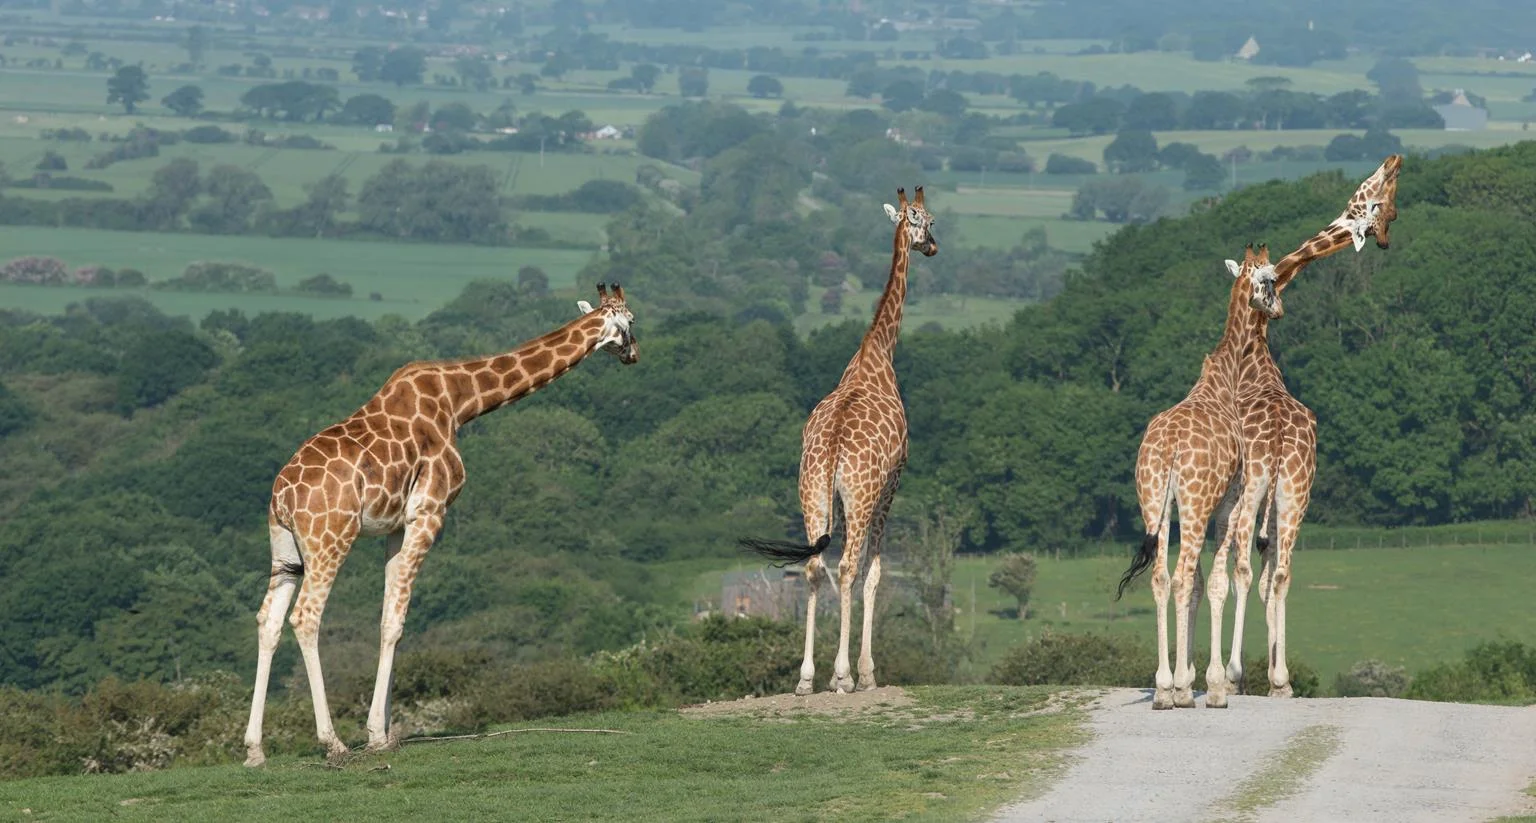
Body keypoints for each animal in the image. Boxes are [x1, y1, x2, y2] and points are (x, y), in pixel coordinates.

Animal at [242, 280, 638, 764]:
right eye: (631, 321)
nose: (635, 354)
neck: (460, 401)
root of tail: (282, 497)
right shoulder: (430, 512)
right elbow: (396, 621)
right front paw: (375, 734)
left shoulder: (396, 525)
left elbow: (389, 617)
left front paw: (385, 731)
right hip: (330, 539)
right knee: (306, 618)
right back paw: (332, 742)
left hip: (286, 551)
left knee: (269, 621)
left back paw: (254, 749)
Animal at [740, 185, 940, 694]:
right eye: (928, 220)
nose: (933, 247)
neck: (878, 352)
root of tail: (830, 449)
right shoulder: (891, 486)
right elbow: (873, 572)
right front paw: (864, 672)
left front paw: (830, 672)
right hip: (861, 495)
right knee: (848, 567)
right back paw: (847, 675)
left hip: (811, 493)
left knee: (815, 566)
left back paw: (806, 678)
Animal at [1118, 242, 1284, 706]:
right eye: (1270, 278)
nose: (1279, 308)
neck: (1223, 378)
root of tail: (1171, 450)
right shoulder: (1229, 501)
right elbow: (1215, 582)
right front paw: (1212, 684)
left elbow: (1197, 584)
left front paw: (1187, 677)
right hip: (1193, 506)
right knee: (1178, 576)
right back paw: (1175, 689)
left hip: (1152, 502)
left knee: (1161, 577)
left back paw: (1162, 688)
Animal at [1222, 152, 1406, 694]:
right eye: (1376, 197)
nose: (1394, 158)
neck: (1255, 355)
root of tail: (1282, 438)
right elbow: (1270, 575)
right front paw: (1273, 675)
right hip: (1296, 491)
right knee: (1280, 572)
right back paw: (1278, 677)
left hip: (1259, 488)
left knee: (1245, 566)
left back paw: (1234, 674)